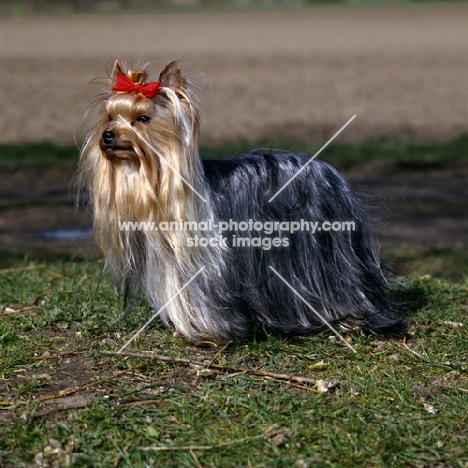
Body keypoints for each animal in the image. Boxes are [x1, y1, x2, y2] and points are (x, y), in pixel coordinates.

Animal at [77, 58, 406, 344]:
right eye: (110, 117)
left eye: (143, 119)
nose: (108, 135)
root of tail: (329, 171)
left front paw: (207, 335)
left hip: (330, 260)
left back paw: (350, 321)